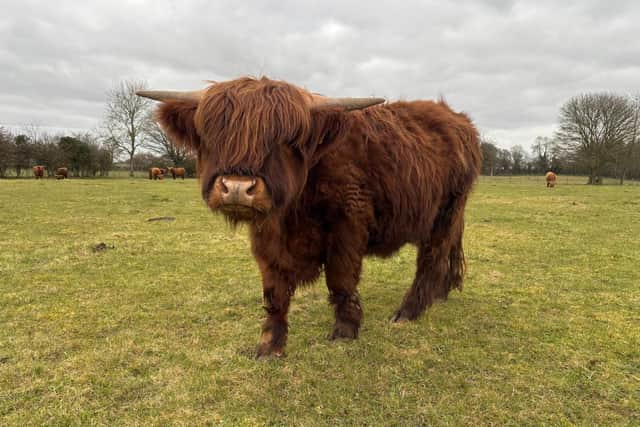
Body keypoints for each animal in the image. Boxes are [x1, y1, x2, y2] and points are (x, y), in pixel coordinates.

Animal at [137, 77, 482, 359]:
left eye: (283, 139)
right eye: (212, 136)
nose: (236, 188)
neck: (292, 211)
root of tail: (458, 121)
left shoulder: (347, 226)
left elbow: (341, 281)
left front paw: (345, 330)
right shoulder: (267, 240)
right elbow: (275, 292)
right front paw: (269, 345)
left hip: (445, 213)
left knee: (431, 257)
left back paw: (409, 311)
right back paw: (442, 292)